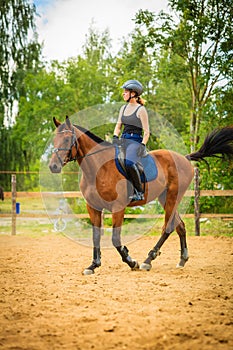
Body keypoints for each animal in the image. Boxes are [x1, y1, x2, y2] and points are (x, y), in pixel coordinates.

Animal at [49, 116, 233, 274]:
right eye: (54, 140)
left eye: (67, 140)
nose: (53, 166)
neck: (98, 168)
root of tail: (185, 158)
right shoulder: (93, 207)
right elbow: (95, 235)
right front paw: (93, 265)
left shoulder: (118, 207)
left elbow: (115, 239)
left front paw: (131, 261)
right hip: (164, 198)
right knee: (179, 225)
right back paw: (182, 260)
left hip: (173, 196)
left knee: (168, 227)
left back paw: (148, 260)